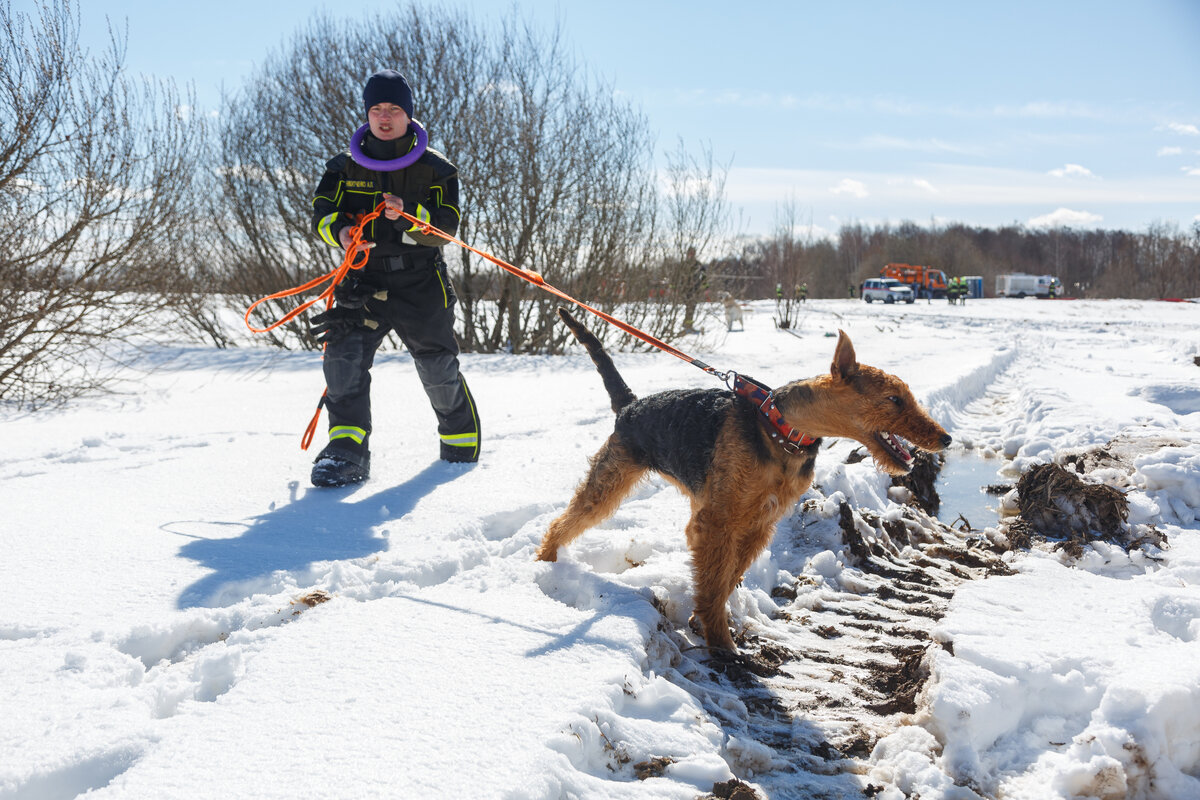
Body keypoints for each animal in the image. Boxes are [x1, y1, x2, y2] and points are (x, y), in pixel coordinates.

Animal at [540, 309, 950, 652]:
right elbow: (716, 581)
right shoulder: (722, 520)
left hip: (694, 498)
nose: (945, 439)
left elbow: (723, 579)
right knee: (563, 522)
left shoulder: (758, 521)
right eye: (894, 399)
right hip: (611, 479)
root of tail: (629, 405)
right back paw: (545, 562)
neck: (784, 431)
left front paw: (707, 622)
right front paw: (722, 644)